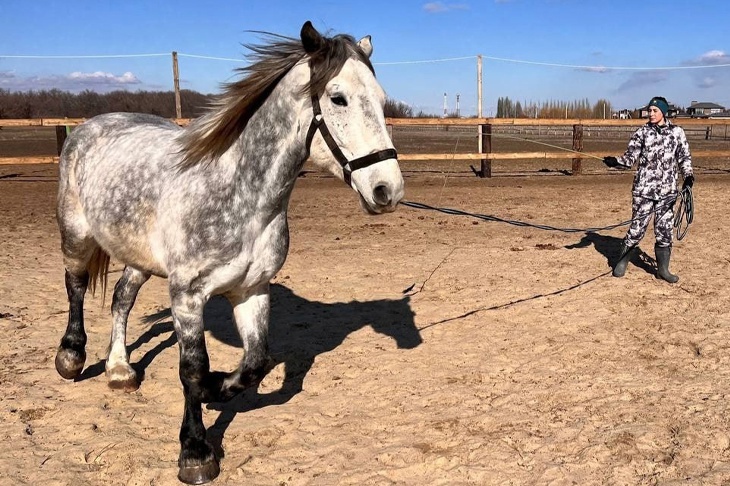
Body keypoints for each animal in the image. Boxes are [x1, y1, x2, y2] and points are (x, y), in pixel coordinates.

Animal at [54, 21, 400, 482]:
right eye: (337, 97)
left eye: (381, 99)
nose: (388, 190)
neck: (238, 195)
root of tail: (91, 126)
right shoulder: (186, 296)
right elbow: (192, 370)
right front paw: (195, 452)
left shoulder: (252, 290)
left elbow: (255, 363)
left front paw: (219, 387)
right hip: (76, 234)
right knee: (75, 286)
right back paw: (71, 358)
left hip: (138, 257)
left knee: (121, 299)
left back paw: (120, 370)